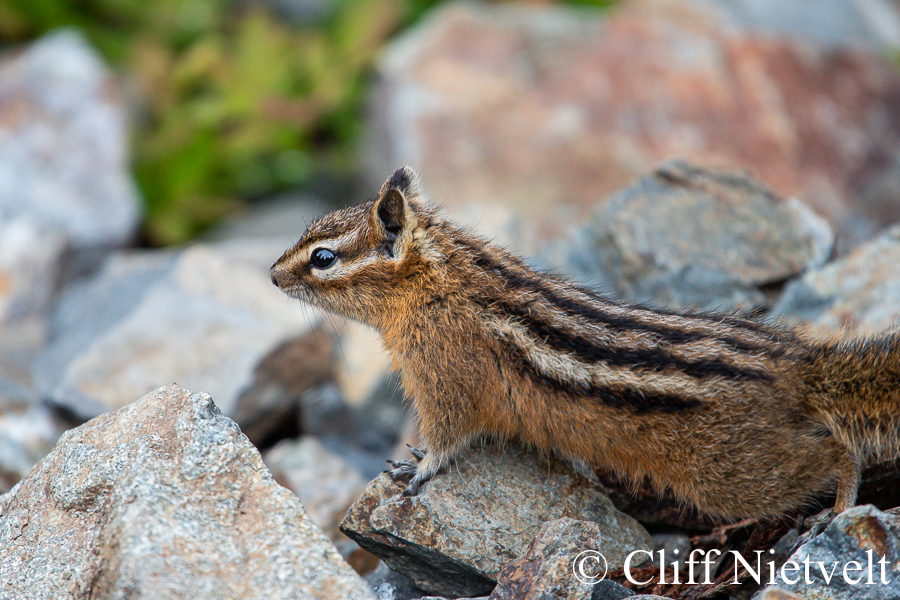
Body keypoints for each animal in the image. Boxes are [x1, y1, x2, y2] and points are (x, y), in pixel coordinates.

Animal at [270, 166, 900, 522]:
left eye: (322, 257)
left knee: (837, 454)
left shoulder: (445, 380)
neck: (439, 280)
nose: (272, 276)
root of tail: (798, 368)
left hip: (735, 479)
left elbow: (450, 436)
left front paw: (419, 469)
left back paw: (841, 507)